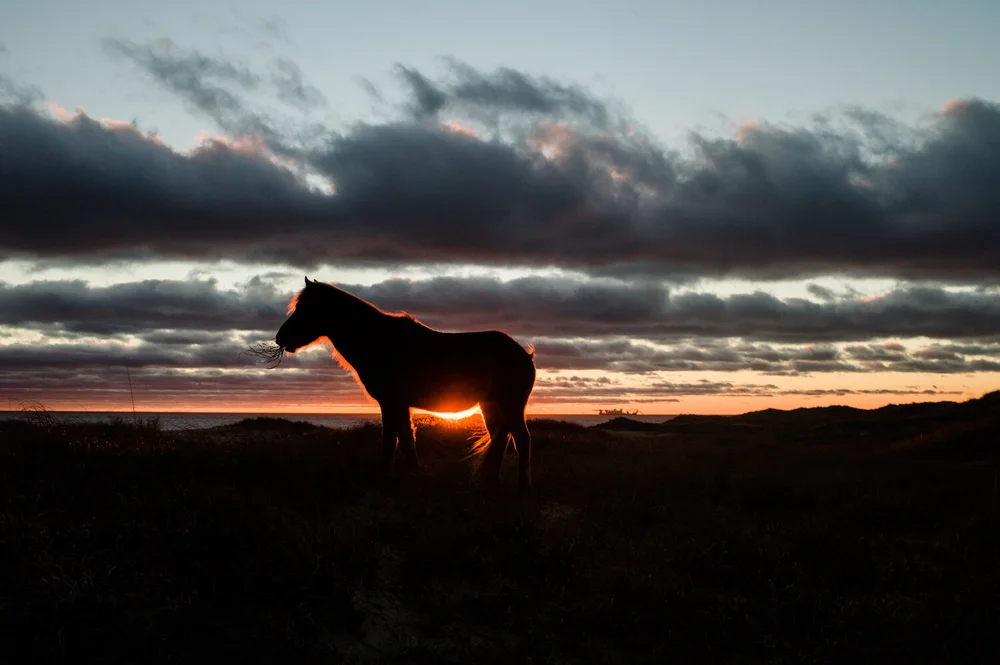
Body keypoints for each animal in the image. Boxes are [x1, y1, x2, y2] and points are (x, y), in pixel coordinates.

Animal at [274, 277, 537, 490]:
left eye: (305, 308)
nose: (280, 338)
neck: (377, 339)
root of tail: (524, 354)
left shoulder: (390, 403)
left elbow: (390, 441)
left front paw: (386, 478)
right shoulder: (401, 405)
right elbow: (407, 440)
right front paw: (415, 476)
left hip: (511, 406)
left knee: (521, 440)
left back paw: (523, 486)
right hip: (490, 406)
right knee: (500, 439)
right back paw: (492, 481)